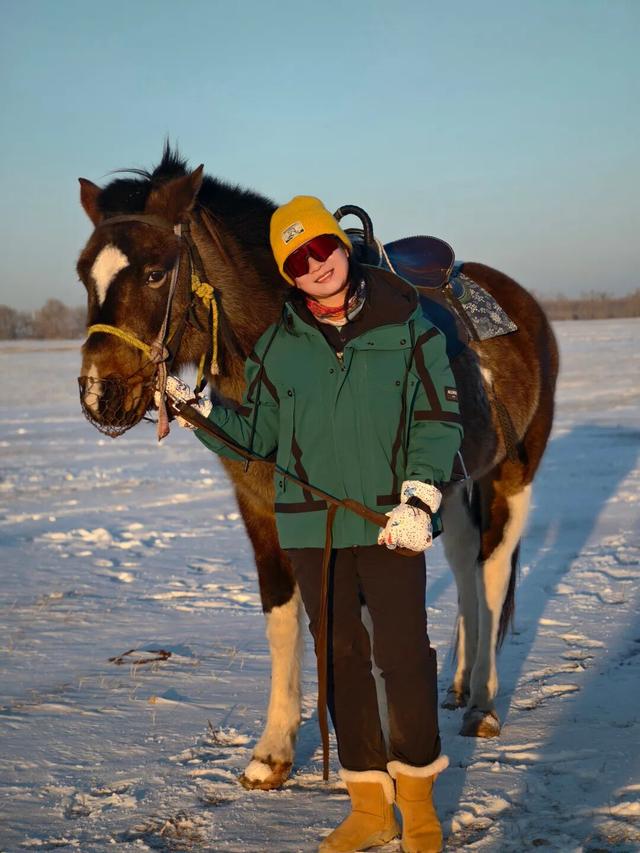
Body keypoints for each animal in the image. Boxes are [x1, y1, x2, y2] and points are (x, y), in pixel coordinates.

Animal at [76, 146, 559, 790]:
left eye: (156, 272)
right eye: (85, 274)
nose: (98, 395)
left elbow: (371, 624)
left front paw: (390, 747)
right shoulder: (261, 504)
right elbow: (284, 616)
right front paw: (273, 752)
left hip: (512, 476)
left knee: (493, 572)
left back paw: (482, 701)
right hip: (455, 488)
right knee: (464, 570)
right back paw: (457, 686)